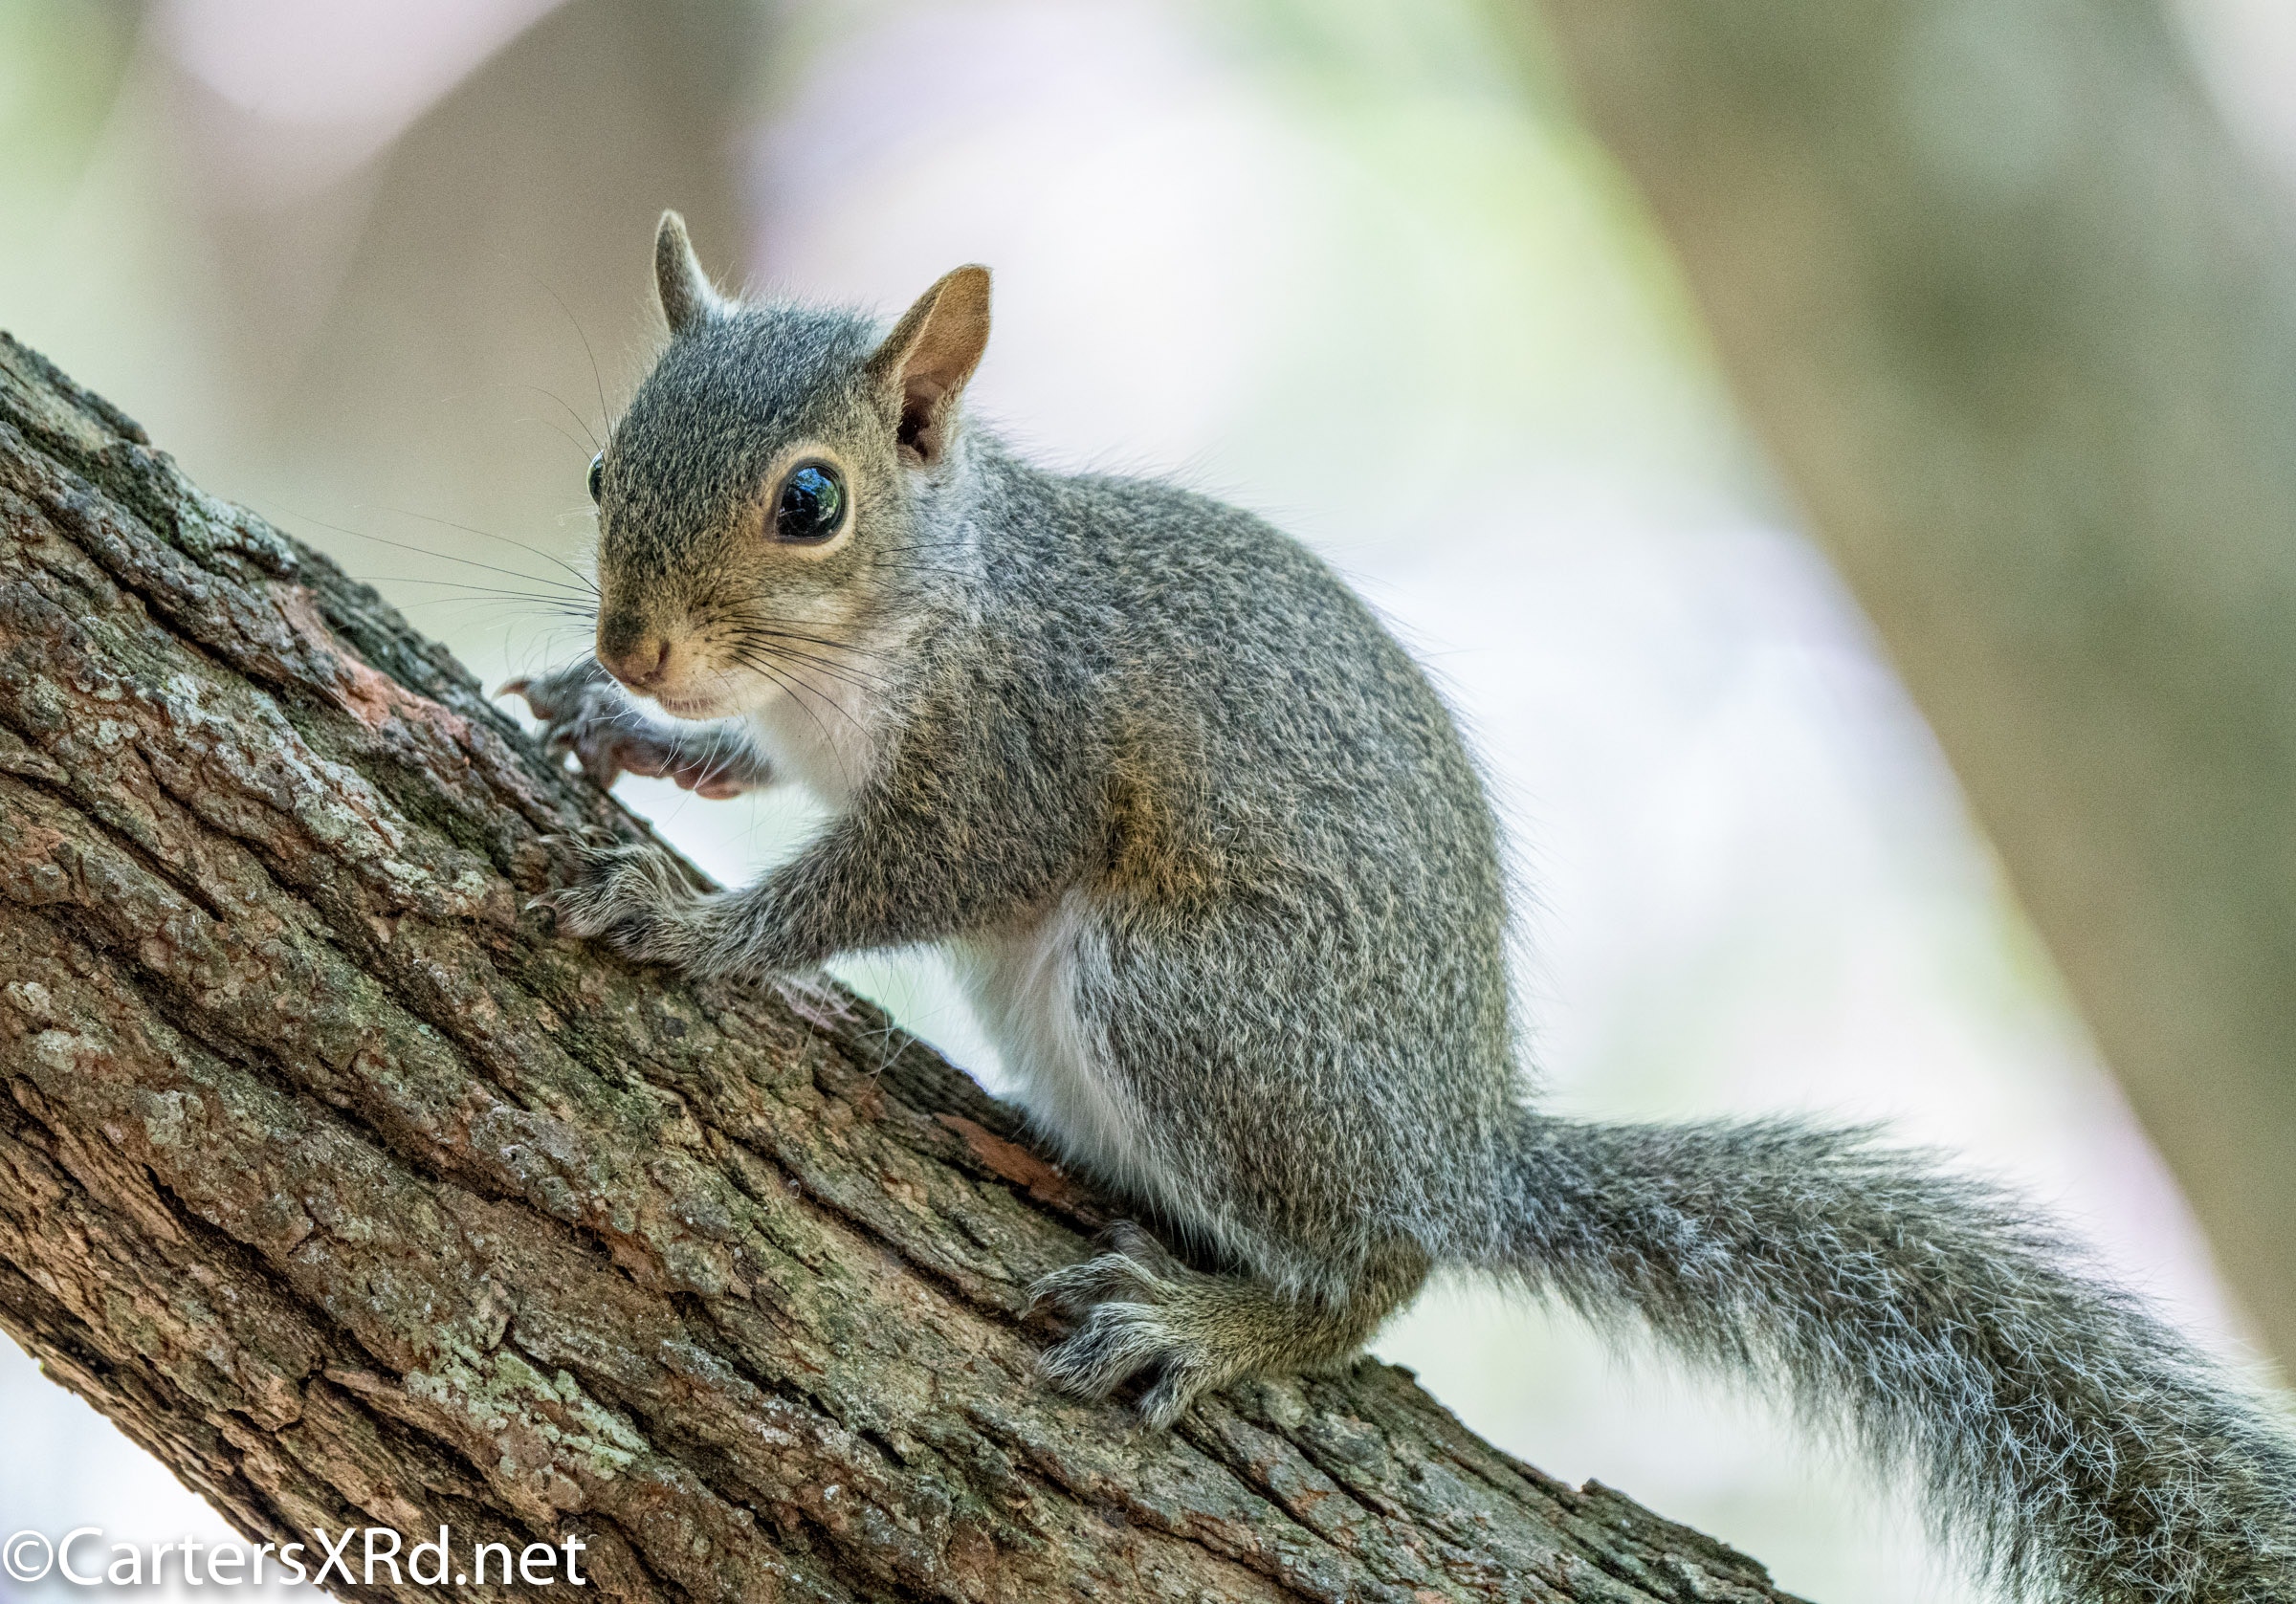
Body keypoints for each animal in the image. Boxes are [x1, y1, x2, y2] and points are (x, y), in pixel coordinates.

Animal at [505, 212, 2296, 1601]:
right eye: (598, 465)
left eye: (811, 502)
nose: (636, 644)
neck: (920, 610)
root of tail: (1465, 1151)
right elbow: (753, 767)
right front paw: (631, 731)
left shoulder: (1022, 752)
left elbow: (903, 873)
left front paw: (698, 929)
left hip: (1187, 1001)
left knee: (1372, 1276)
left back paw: (1218, 1322)